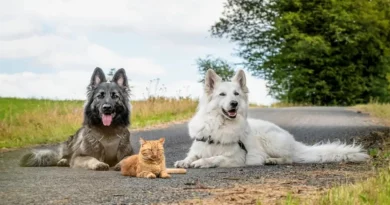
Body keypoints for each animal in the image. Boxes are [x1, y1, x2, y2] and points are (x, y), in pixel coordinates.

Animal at [175, 69, 370, 168]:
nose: (234, 104)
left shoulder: (237, 158)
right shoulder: (199, 146)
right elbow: (191, 156)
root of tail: (294, 142)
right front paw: (185, 161)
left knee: (289, 158)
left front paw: (202, 162)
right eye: (222, 94)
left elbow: (216, 158)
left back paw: (272, 160)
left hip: (270, 141)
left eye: (236, 94)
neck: (219, 125)